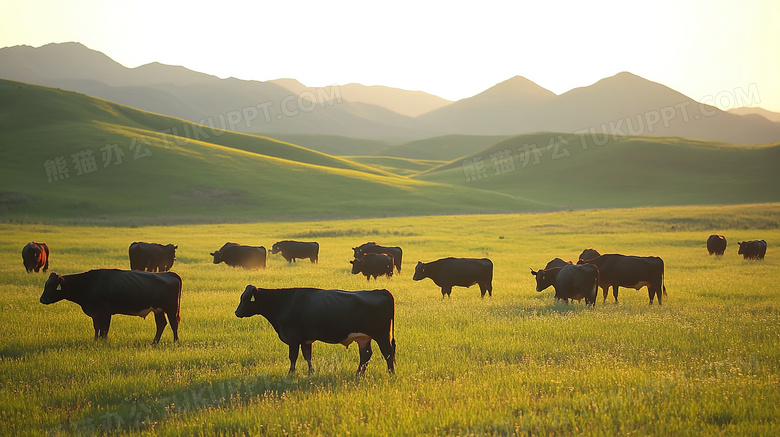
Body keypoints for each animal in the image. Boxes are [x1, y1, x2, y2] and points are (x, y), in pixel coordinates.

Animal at [40, 268, 183, 342]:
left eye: (52, 286)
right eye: (46, 285)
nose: (42, 299)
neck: (89, 283)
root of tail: (170, 273)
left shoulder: (105, 313)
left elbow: (104, 329)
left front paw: (103, 342)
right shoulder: (95, 314)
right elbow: (97, 327)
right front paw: (96, 341)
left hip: (171, 309)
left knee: (173, 323)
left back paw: (175, 341)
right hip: (158, 310)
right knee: (161, 324)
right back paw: (154, 343)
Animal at [233, 282, 394, 374]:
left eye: (246, 299)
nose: (236, 312)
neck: (284, 302)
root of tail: (381, 291)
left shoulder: (293, 337)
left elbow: (293, 356)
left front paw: (291, 374)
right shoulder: (306, 340)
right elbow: (307, 356)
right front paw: (311, 372)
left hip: (382, 335)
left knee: (388, 352)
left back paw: (390, 373)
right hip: (363, 338)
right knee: (366, 354)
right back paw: (359, 374)